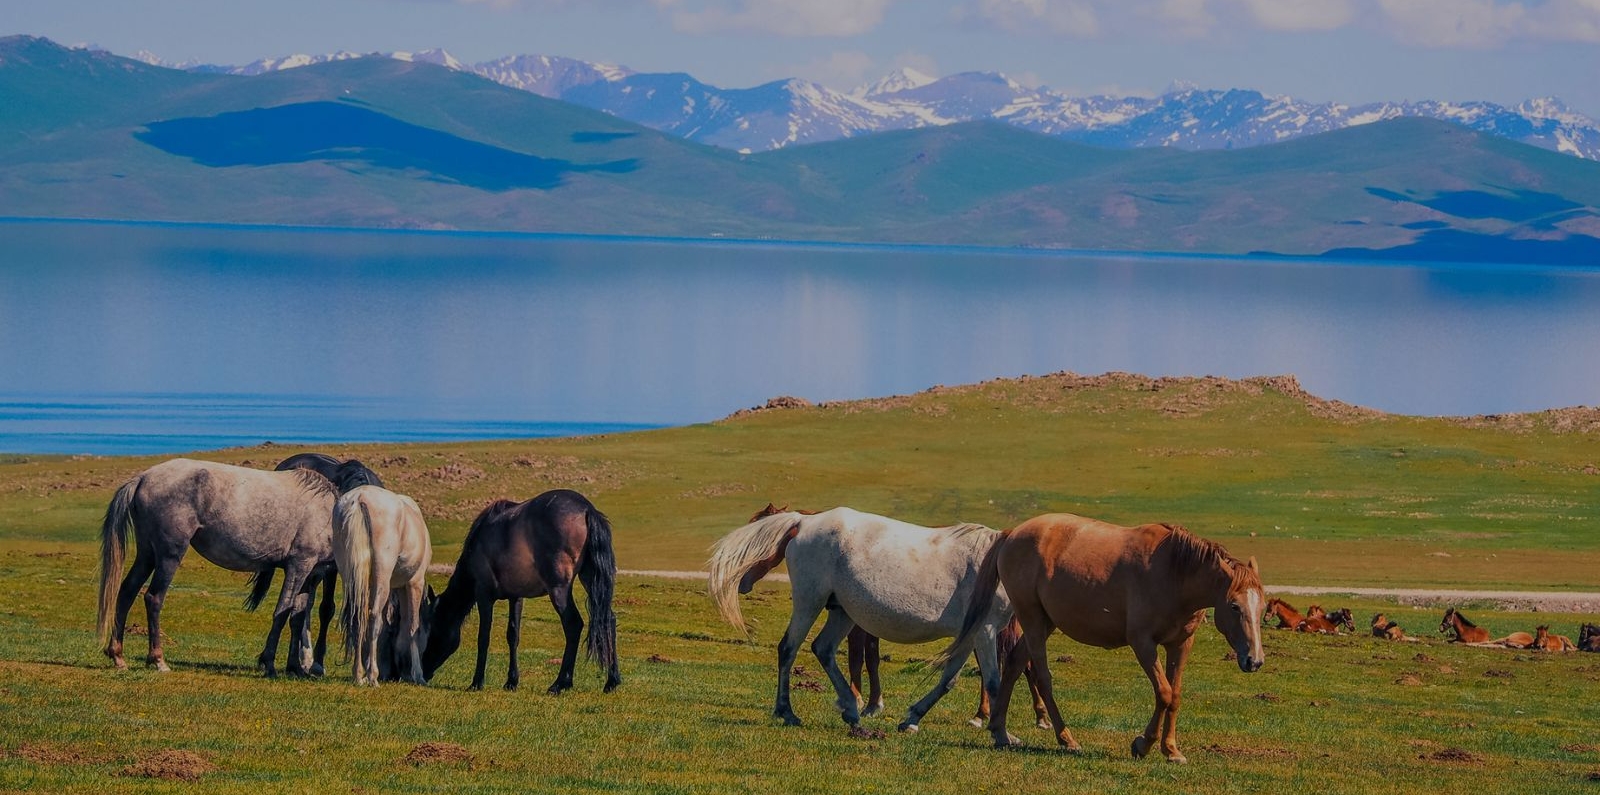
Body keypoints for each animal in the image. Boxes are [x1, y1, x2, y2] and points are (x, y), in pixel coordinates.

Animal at [95, 457, 339, 675]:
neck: (328, 514)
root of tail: (144, 478)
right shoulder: (298, 566)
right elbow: (282, 612)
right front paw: (269, 664)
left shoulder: (309, 574)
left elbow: (296, 618)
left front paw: (295, 668)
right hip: (169, 555)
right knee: (153, 598)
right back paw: (158, 660)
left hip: (147, 554)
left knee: (127, 591)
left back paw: (118, 656)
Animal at [332, 479, 432, 684]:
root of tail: (359, 498)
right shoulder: (413, 583)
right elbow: (412, 625)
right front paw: (418, 674)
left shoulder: (394, 587)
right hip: (382, 578)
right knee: (373, 618)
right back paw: (372, 676)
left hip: (354, 579)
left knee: (358, 618)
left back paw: (358, 675)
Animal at [422, 486, 620, 691]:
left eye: (430, 630)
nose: (423, 672)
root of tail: (587, 509)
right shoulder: (516, 596)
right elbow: (513, 635)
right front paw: (511, 681)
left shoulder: (484, 595)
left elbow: (483, 637)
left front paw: (477, 682)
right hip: (590, 579)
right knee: (609, 620)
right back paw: (611, 681)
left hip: (559, 589)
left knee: (573, 624)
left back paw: (560, 683)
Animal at [934, 511, 1260, 758]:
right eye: (1234, 606)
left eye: (1261, 605)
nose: (1254, 661)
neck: (1174, 572)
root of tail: (1012, 534)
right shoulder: (1143, 644)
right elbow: (1164, 692)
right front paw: (1143, 744)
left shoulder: (1180, 644)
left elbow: (1175, 695)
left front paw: (1171, 750)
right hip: (1033, 621)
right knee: (1042, 677)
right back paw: (1065, 738)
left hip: (1043, 622)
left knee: (1014, 665)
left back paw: (999, 730)